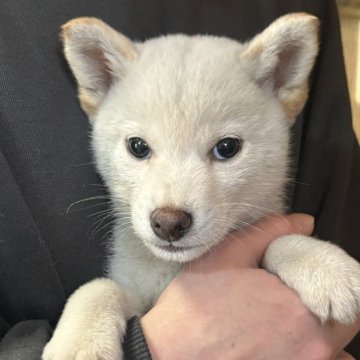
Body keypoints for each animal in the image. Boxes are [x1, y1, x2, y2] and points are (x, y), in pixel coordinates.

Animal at [41, 14, 360, 360]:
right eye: (137, 147)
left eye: (227, 148)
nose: (168, 222)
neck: (174, 270)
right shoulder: (136, 291)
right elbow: (98, 287)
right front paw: (80, 341)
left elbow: (276, 240)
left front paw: (323, 265)